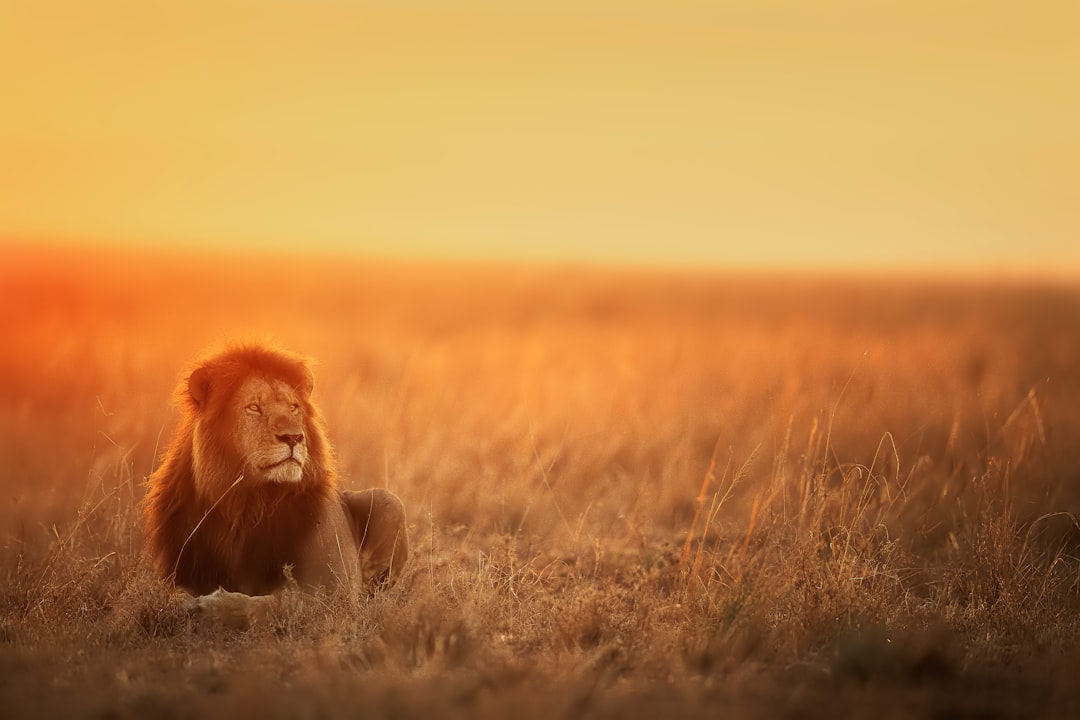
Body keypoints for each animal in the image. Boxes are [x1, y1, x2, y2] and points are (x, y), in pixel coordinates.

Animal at [143, 343, 408, 608]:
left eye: (293, 407)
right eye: (254, 407)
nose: (293, 437)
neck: (246, 503)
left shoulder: (330, 590)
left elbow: (270, 603)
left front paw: (212, 604)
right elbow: (172, 594)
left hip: (389, 501)